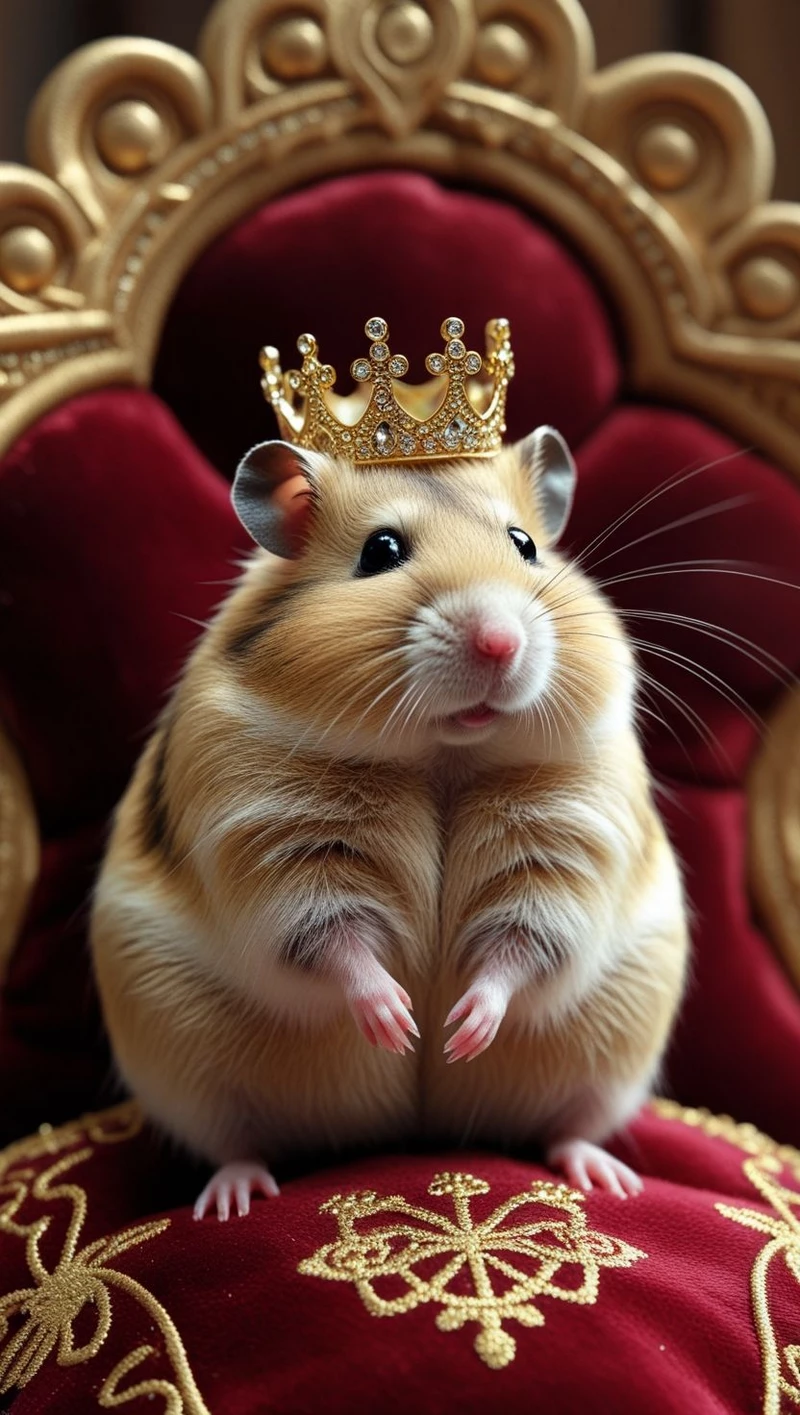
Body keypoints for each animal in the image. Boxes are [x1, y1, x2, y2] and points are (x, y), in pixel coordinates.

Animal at [90, 427, 688, 1219]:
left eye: (525, 544)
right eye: (380, 551)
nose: (500, 642)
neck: (443, 755)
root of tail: (410, 1131)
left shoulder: (564, 852)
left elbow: (518, 948)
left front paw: (461, 1032)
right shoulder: (282, 853)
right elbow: (340, 943)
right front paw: (400, 1025)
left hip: (613, 1051)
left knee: (569, 1127)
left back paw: (605, 1177)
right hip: (182, 1057)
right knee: (234, 1143)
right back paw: (232, 1197)